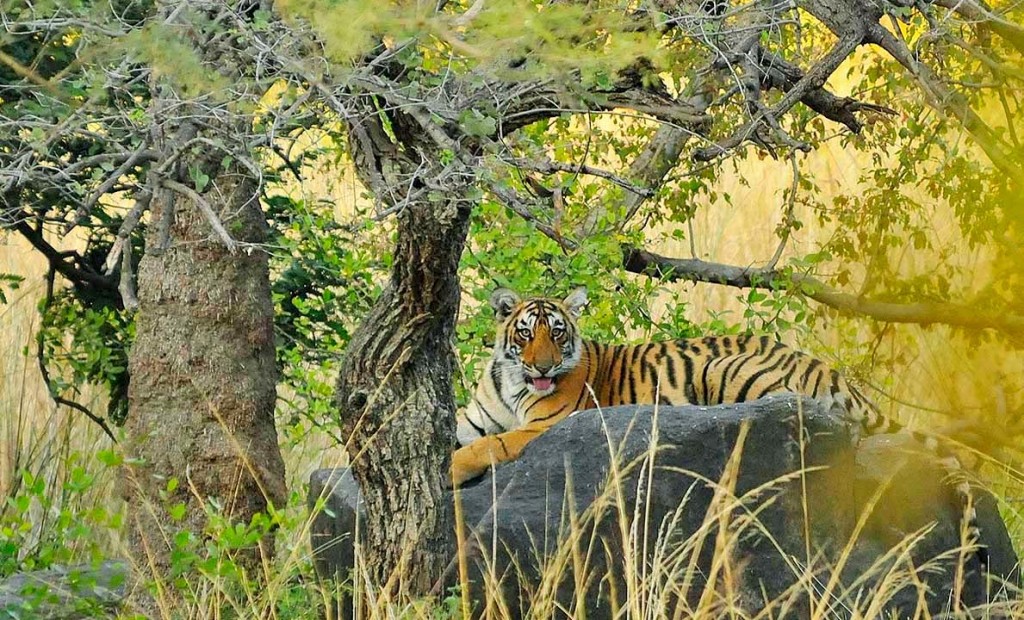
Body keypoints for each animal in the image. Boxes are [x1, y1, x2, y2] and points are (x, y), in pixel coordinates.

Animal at [450, 284, 983, 565]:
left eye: (558, 334)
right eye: (526, 333)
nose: (542, 367)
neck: (511, 381)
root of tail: (825, 368)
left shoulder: (543, 426)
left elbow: (490, 446)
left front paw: (453, 469)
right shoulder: (476, 417)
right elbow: (465, 434)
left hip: (728, 371)